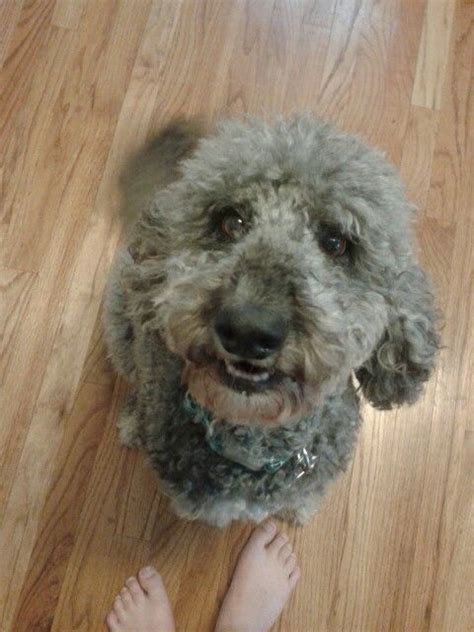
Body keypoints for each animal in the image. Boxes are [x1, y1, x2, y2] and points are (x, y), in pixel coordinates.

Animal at [103, 116, 440, 524]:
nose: (247, 331)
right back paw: (133, 422)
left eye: (336, 243)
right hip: (122, 331)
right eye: (230, 222)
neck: (256, 451)